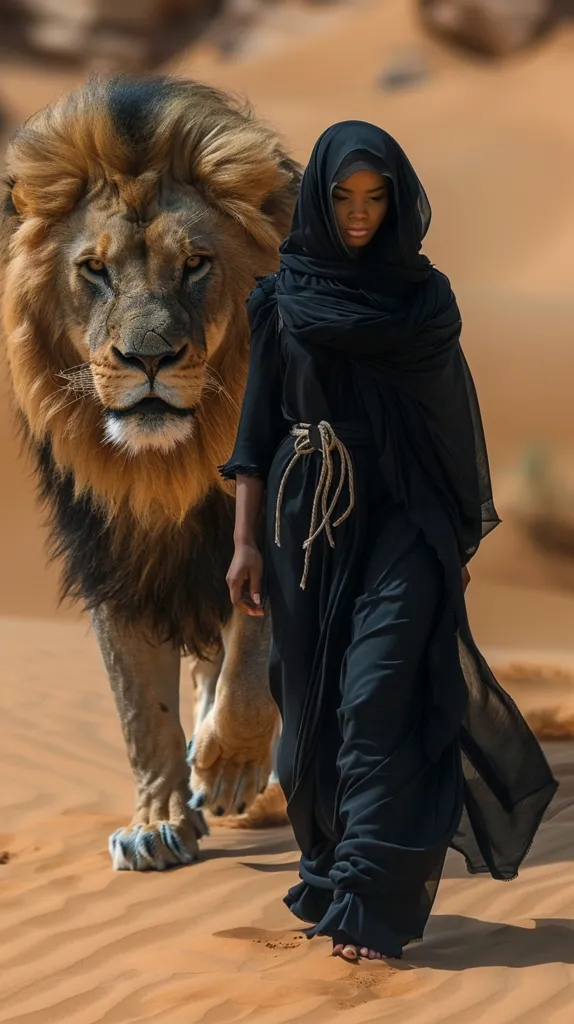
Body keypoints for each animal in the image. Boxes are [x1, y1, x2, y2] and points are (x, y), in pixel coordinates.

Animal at [0, 75, 299, 870]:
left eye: (195, 263)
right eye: (94, 270)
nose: (149, 358)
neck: (171, 467)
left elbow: (255, 649)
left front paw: (230, 766)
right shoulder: (115, 556)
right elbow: (139, 703)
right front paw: (157, 819)